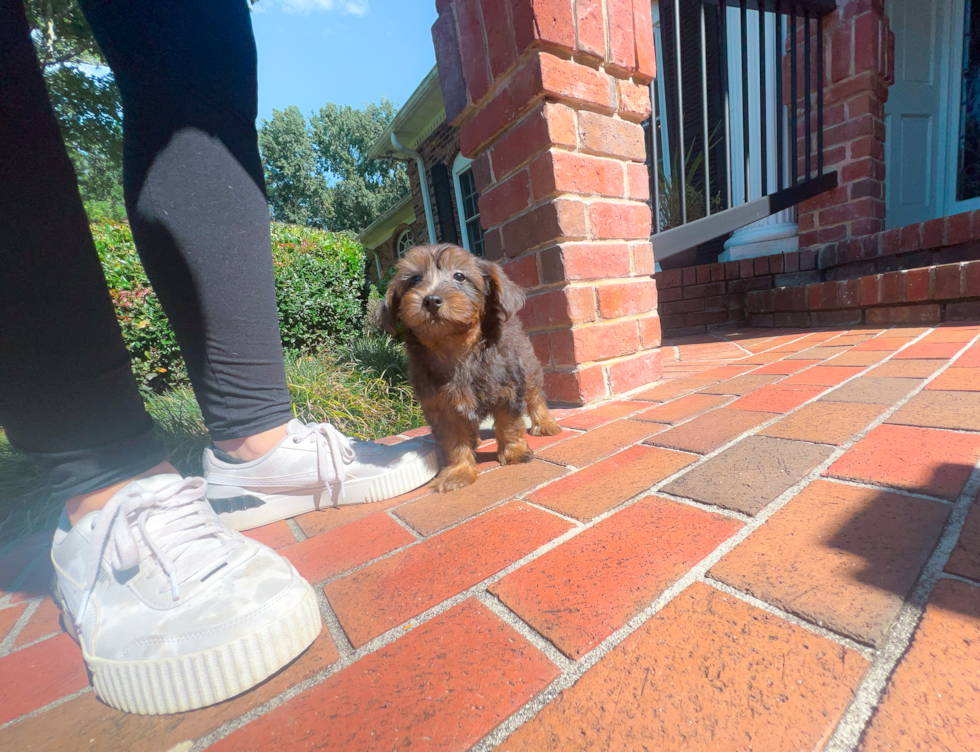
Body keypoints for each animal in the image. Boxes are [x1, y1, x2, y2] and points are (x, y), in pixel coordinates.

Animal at [380, 242, 560, 494]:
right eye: (415, 279)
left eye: (459, 276)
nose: (431, 300)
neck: (455, 346)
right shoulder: (441, 406)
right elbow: (453, 441)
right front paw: (459, 471)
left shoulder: (509, 388)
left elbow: (510, 423)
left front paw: (514, 452)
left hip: (528, 368)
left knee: (535, 396)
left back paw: (544, 423)